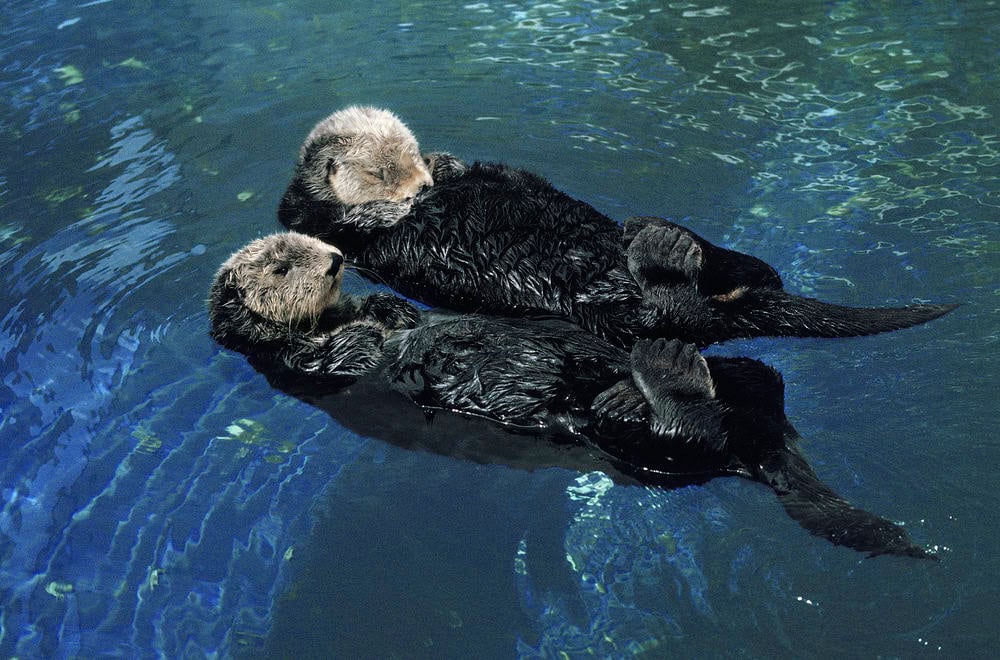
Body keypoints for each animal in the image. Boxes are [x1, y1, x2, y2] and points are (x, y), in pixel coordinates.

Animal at [209, 232, 935, 559]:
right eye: (283, 265)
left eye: (311, 245)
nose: (334, 259)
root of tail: (762, 440)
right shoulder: (301, 364)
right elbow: (350, 354)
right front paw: (376, 329)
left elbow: (389, 315)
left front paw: (390, 308)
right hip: (647, 456)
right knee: (688, 426)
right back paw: (663, 376)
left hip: (731, 388)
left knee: (756, 375)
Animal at [277, 106, 956, 348]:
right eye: (384, 169)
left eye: (412, 155)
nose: (421, 185)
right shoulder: (330, 229)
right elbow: (345, 227)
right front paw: (397, 207)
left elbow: (492, 171)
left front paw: (449, 166)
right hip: (619, 316)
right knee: (675, 316)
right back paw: (667, 253)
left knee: (744, 272)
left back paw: (670, 238)